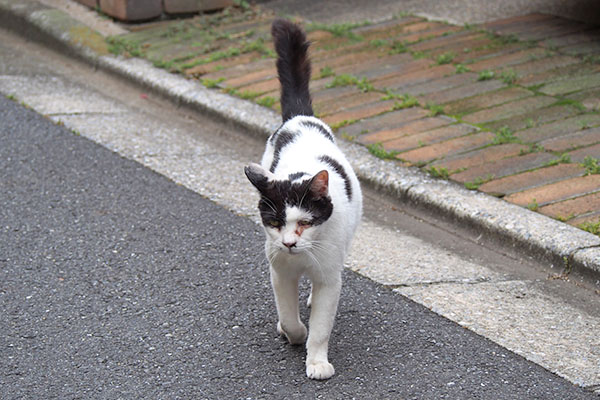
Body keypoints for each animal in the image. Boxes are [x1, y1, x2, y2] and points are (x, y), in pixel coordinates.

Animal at [243, 18, 360, 380]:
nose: (290, 243)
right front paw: (291, 332)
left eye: (306, 223)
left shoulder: (328, 277)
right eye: (274, 222)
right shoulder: (280, 271)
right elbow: (288, 314)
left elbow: (322, 327)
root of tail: (299, 119)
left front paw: (317, 361)